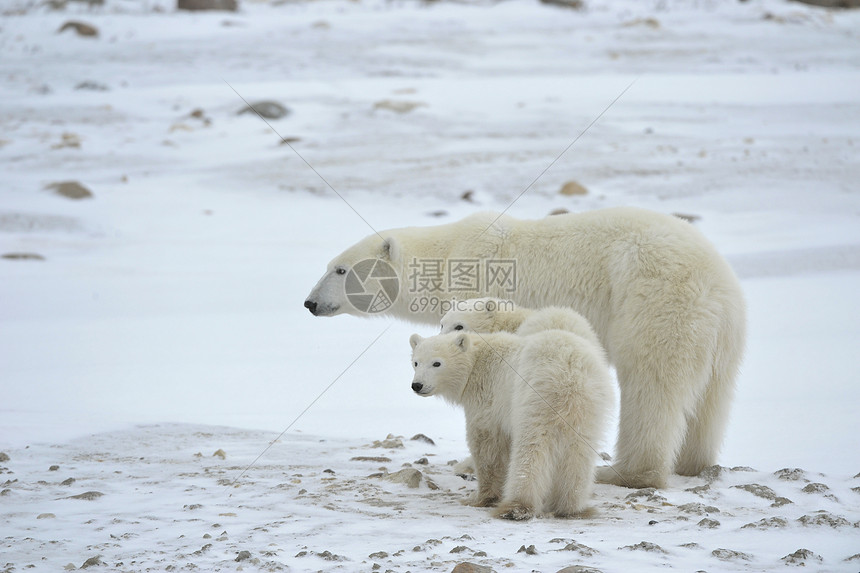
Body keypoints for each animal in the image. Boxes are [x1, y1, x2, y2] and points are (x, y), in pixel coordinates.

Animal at [304, 207, 744, 488]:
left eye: (340, 269)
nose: (309, 302)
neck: (446, 256)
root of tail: (716, 284)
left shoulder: (480, 288)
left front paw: (468, 463)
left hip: (654, 303)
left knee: (652, 387)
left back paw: (627, 472)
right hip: (725, 337)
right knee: (711, 399)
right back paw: (693, 463)